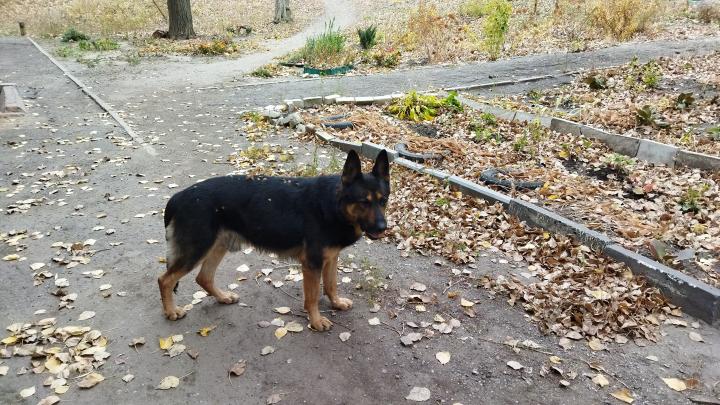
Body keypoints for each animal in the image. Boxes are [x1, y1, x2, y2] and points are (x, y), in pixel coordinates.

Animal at [158, 150, 390, 331]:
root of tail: (178, 197)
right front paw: (315, 321)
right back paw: (171, 311)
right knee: (165, 280)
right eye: (364, 202)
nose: (383, 228)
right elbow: (313, 297)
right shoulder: (312, 265)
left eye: (383, 201)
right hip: (197, 250)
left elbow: (332, 285)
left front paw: (337, 303)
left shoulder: (331, 258)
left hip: (217, 246)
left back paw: (223, 297)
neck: (333, 203)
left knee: (203, 278)